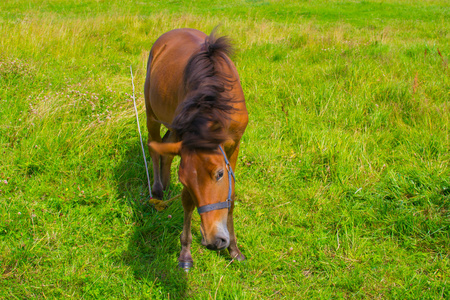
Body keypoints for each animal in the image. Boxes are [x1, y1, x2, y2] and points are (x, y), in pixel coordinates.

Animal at [144, 28, 248, 270]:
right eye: (184, 180)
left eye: (219, 174)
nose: (214, 241)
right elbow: (187, 201)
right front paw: (185, 253)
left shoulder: (234, 145)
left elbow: (231, 197)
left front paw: (234, 249)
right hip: (151, 114)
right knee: (154, 147)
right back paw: (158, 190)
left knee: (165, 151)